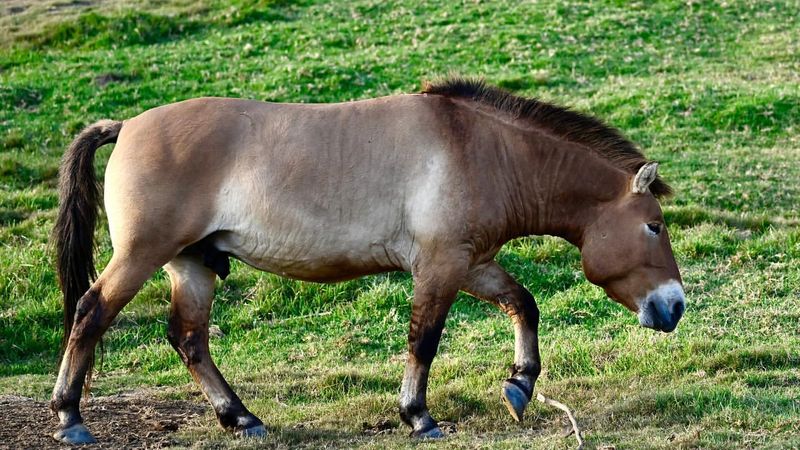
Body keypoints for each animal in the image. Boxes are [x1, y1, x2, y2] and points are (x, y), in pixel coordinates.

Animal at [51, 78, 688, 442]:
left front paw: (520, 385)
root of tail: (126, 125)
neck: (483, 149)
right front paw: (419, 416)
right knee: (90, 313)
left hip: (193, 265)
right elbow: (424, 340)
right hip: (142, 255)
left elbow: (522, 304)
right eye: (653, 226)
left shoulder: (470, 262)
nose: (675, 306)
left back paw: (242, 418)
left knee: (188, 339)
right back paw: (70, 417)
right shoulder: (440, 266)